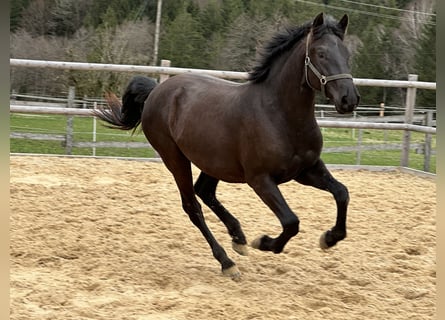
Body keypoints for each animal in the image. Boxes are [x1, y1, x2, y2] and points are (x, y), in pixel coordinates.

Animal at [95, 11, 360, 280]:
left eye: (347, 54)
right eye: (321, 53)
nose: (349, 99)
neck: (280, 115)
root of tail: (157, 90)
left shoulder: (307, 169)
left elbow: (342, 193)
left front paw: (329, 238)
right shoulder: (260, 179)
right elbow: (291, 221)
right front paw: (264, 242)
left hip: (214, 161)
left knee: (204, 191)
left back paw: (238, 238)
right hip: (174, 158)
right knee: (192, 206)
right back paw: (227, 262)